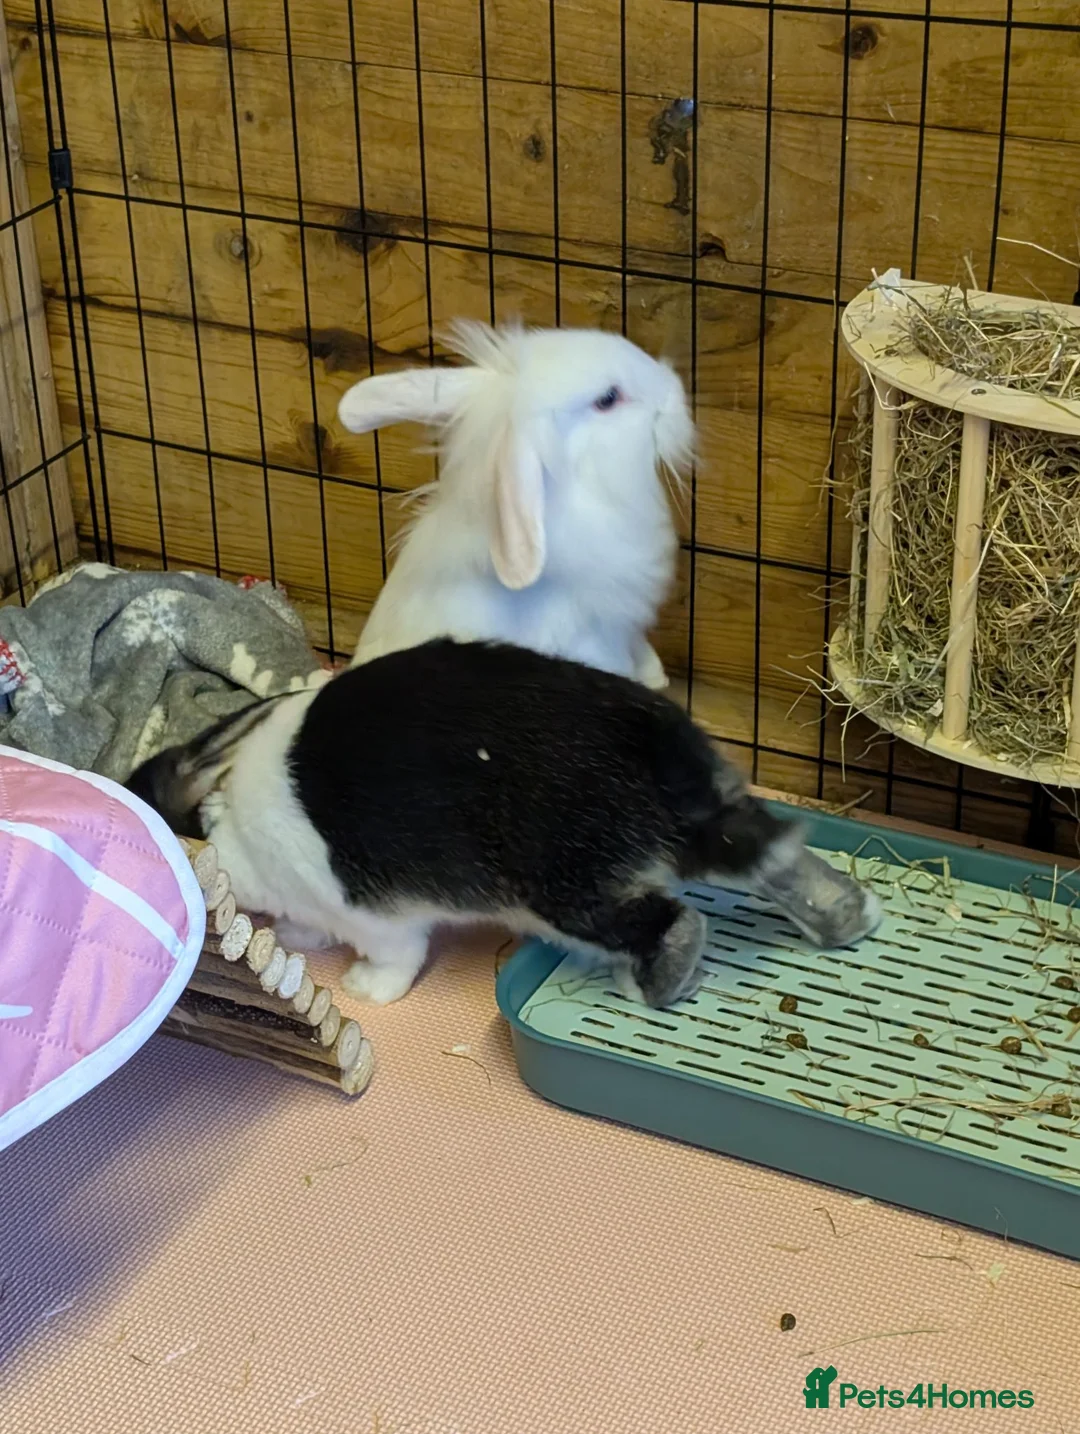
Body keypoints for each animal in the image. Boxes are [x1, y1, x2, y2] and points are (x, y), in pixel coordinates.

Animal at [127, 639, 882, 1009]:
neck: (230, 830)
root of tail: (657, 756)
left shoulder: (376, 915)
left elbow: (397, 957)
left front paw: (367, 990)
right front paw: (298, 938)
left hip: (565, 889)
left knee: (672, 919)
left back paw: (655, 984)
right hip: (718, 822)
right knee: (773, 859)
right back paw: (849, 918)